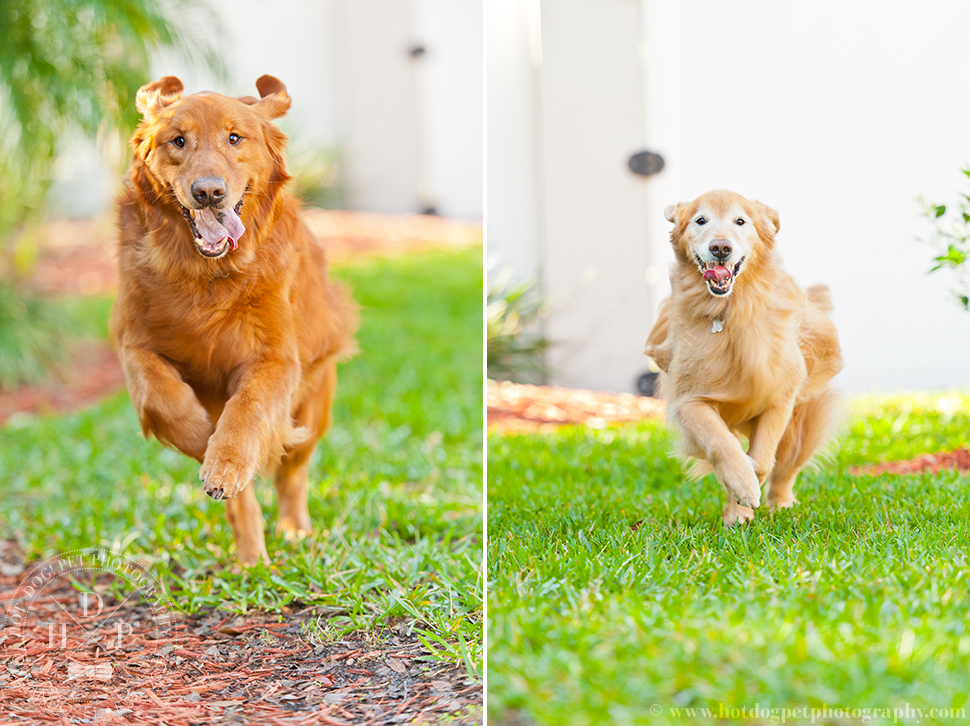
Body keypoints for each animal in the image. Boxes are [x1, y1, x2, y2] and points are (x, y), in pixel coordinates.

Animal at [109, 74, 358, 564]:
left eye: (235, 138)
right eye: (178, 141)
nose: (208, 191)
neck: (204, 275)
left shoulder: (277, 358)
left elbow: (248, 409)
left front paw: (224, 462)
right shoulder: (134, 345)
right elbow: (162, 397)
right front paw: (200, 439)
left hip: (314, 400)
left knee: (293, 473)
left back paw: (293, 532)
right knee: (245, 499)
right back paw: (250, 557)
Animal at [644, 191, 840, 528]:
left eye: (740, 221)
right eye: (700, 220)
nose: (720, 248)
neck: (729, 310)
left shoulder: (779, 397)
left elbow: (761, 460)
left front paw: (750, 487)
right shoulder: (689, 399)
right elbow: (721, 444)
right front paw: (742, 487)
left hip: (798, 426)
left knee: (785, 468)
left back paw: (780, 505)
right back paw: (737, 515)